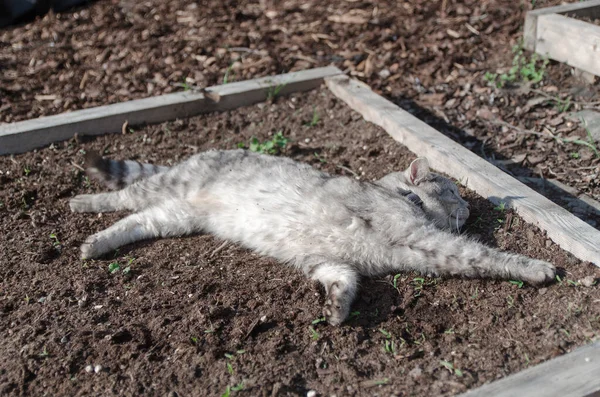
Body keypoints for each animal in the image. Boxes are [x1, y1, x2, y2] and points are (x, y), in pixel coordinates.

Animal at [71, 148, 556, 324]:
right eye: (454, 190)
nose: (470, 207)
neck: (402, 198)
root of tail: (206, 151)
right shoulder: (431, 241)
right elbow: (488, 257)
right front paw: (536, 268)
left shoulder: (327, 261)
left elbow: (344, 279)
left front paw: (337, 309)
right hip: (167, 189)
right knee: (125, 195)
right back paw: (83, 203)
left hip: (178, 215)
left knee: (139, 220)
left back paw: (94, 243)